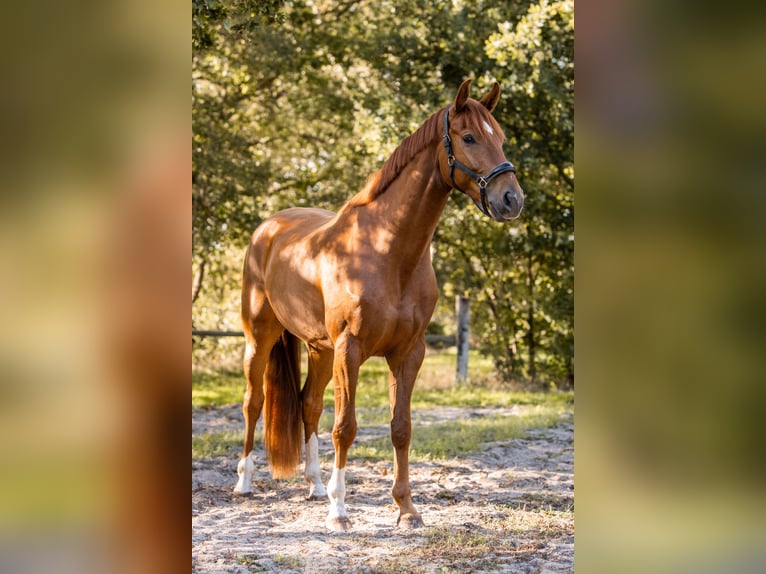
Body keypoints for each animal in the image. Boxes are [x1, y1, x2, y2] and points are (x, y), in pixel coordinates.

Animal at [234, 79, 524, 531]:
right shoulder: (350, 349)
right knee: (254, 402)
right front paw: (339, 512)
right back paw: (245, 482)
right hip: (260, 338)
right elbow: (346, 427)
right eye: (469, 137)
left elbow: (400, 428)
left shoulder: (408, 353)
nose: (512, 199)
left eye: (502, 138)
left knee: (308, 404)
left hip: (319, 350)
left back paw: (315, 486)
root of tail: (268, 228)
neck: (387, 251)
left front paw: (406, 508)